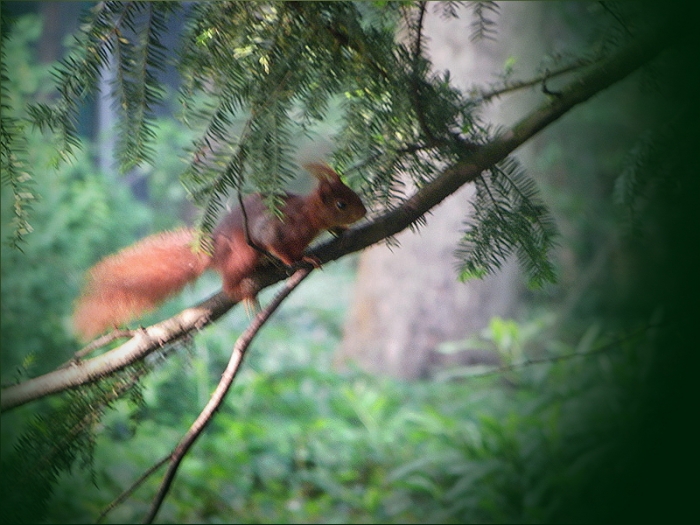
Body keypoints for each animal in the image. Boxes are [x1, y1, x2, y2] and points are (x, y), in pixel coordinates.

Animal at [72, 163, 366, 341]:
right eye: (341, 204)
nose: (363, 212)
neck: (308, 215)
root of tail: (215, 253)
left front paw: (339, 230)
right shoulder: (277, 228)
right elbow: (275, 245)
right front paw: (300, 258)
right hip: (242, 256)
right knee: (229, 284)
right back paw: (246, 292)